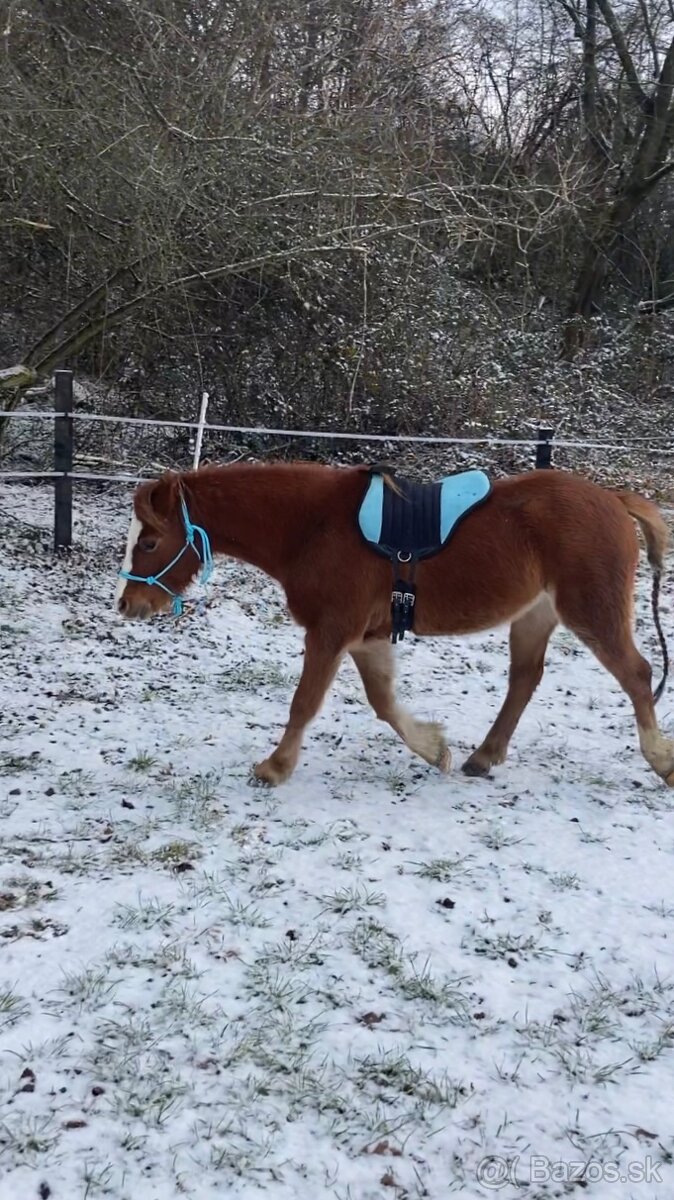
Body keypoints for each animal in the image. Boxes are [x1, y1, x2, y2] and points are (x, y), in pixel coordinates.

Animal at [115, 461, 673, 788]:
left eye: (149, 542)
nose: (127, 604)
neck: (311, 527)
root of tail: (614, 498)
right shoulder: (366, 638)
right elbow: (383, 702)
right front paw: (435, 749)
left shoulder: (330, 633)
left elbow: (304, 703)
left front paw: (274, 767)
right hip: (535, 616)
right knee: (524, 681)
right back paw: (483, 757)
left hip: (591, 612)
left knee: (637, 674)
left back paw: (662, 763)